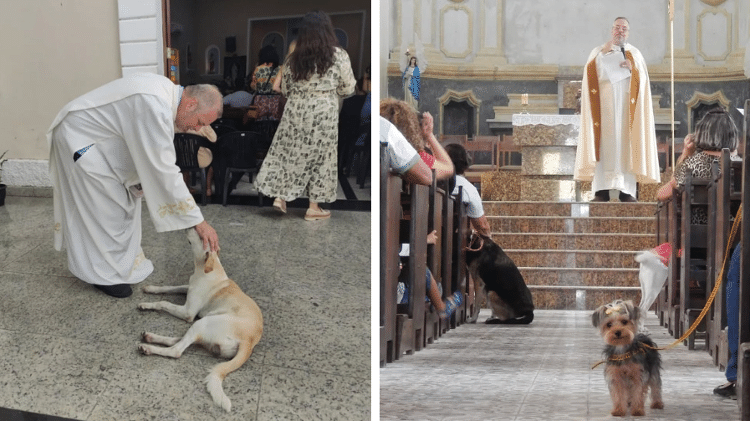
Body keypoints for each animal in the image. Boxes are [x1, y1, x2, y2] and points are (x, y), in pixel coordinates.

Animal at [138, 228, 264, 412]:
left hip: (201, 323)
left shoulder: (188, 312)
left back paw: (148, 347)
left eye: (200, 236)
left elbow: (164, 302)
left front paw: (148, 304)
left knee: (176, 350)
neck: (205, 269)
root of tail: (249, 341)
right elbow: (169, 287)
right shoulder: (187, 287)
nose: (188, 228)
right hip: (205, 328)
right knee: (179, 341)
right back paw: (150, 337)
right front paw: (151, 289)